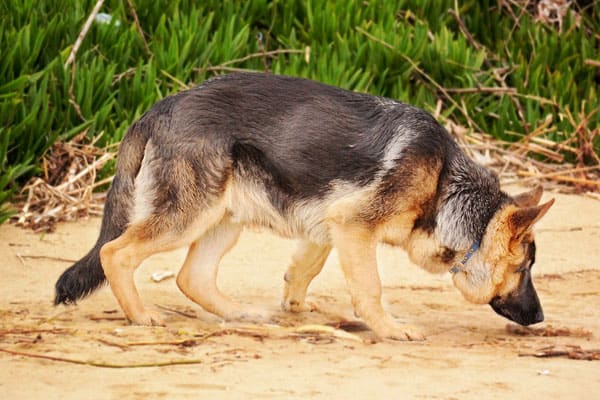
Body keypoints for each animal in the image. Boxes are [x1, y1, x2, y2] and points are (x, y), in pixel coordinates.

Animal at [56, 72, 552, 340]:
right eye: (524, 269)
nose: (541, 317)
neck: (446, 185)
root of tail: (158, 108)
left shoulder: (330, 225)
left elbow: (304, 269)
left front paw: (294, 305)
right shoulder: (354, 227)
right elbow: (370, 289)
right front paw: (389, 328)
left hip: (224, 218)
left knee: (190, 276)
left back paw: (239, 314)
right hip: (187, 217)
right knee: (114, 253)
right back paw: (141, 316)